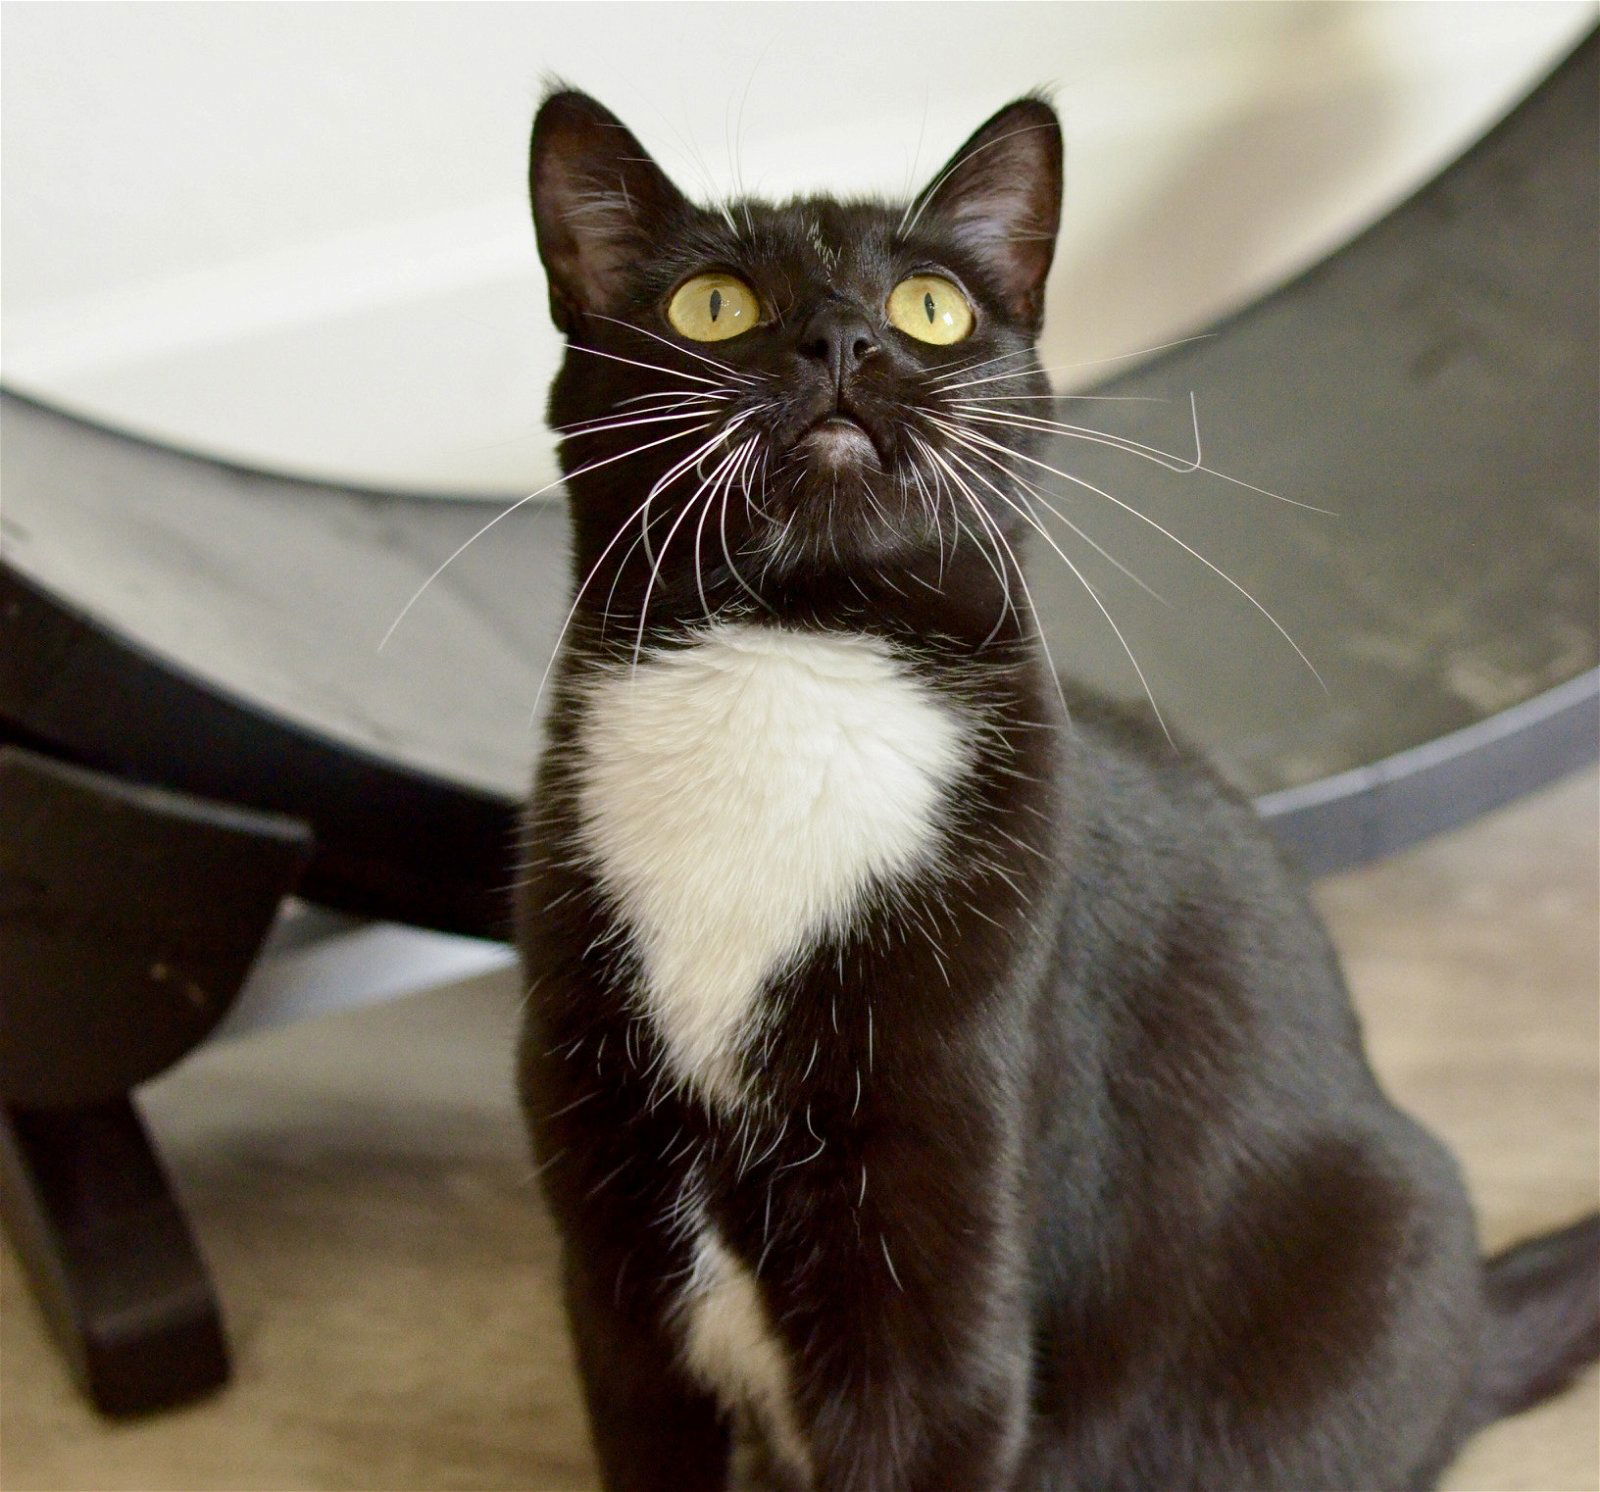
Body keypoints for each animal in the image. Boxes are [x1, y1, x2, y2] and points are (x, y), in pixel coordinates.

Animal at [515, 84, 1600, 1492]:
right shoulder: (612, 1261)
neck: (792, 666)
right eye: (714, 304)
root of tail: (1470, 1337)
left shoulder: (947, 1243)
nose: (840, 337)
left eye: (932, 305)